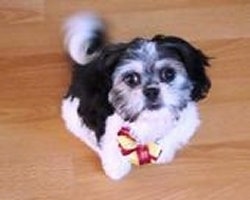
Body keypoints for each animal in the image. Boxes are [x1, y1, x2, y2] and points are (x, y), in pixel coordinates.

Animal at [61, 13, 211, 180]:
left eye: (169, 74)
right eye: (131, 79)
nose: (151, 91)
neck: (150, 121)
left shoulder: (186, 125)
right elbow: (111, 150)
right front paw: (117, 168)